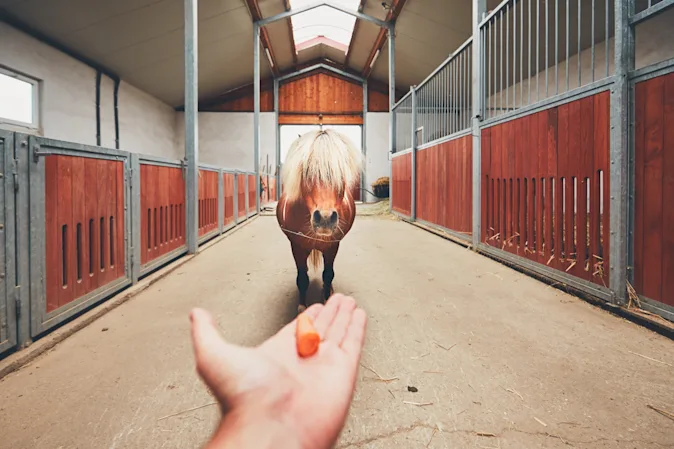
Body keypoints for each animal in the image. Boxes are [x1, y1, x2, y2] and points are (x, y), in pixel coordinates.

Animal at [276, 129, 363, 314]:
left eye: (340, 173)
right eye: (307, 171)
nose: (325, 218)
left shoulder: (332, 246)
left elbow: (328, 275)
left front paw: (327, 298)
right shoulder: (297, 247)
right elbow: (302, 278)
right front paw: (302, 307)